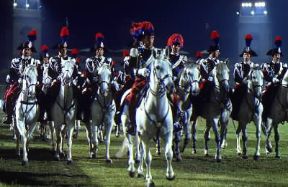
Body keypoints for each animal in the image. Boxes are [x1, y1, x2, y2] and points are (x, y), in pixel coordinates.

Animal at [134, 51, 174, 187]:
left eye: (170, 65)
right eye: (157, 67)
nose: (171, 86)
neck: (156, 109)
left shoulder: (168, 133)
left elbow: (169, 154)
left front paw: (170, 174)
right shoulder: (145, 136)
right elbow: (147, 158)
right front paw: (149, 179)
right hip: (139, 135)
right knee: (141, 153)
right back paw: (140, 171)